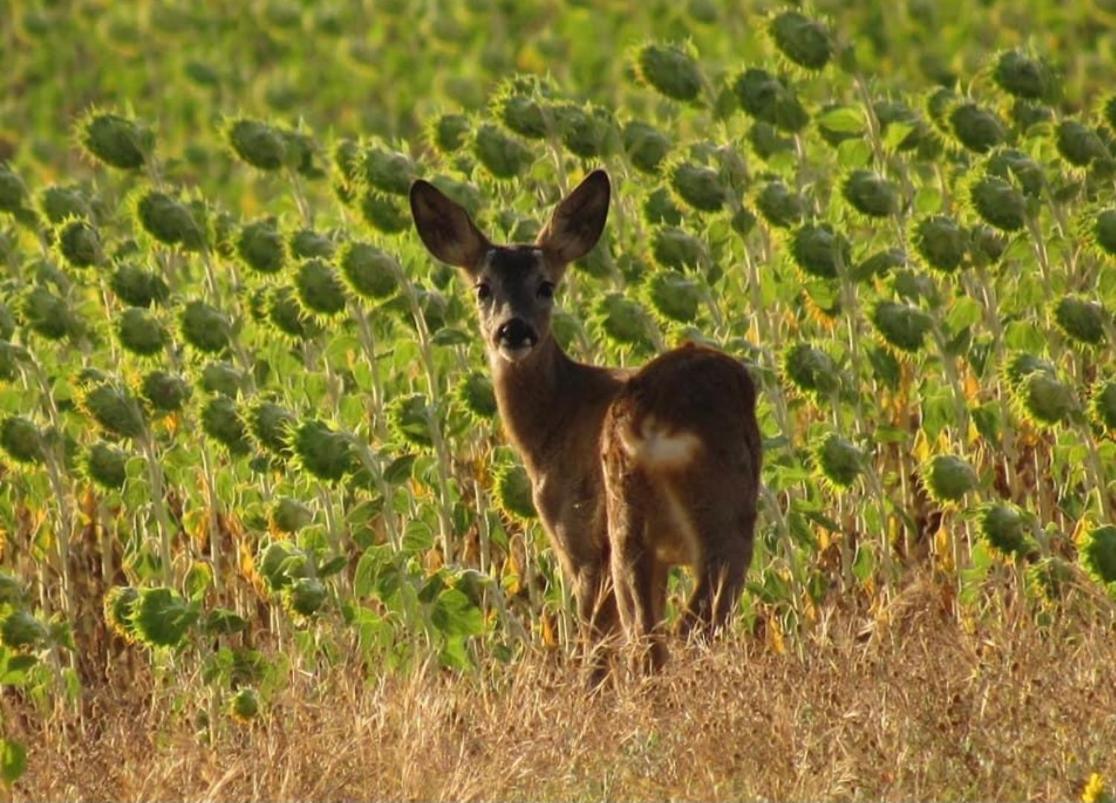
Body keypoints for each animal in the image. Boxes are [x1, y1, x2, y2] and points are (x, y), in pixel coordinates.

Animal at [412, 169, 767, 678]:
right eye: (483, 288)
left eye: (546, 285)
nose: (513, 330)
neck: (554, 418)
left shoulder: (575, 535)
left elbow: (593, 643)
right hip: (697, 512)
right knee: (671, 631)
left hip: (656, 519)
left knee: (664, 634)